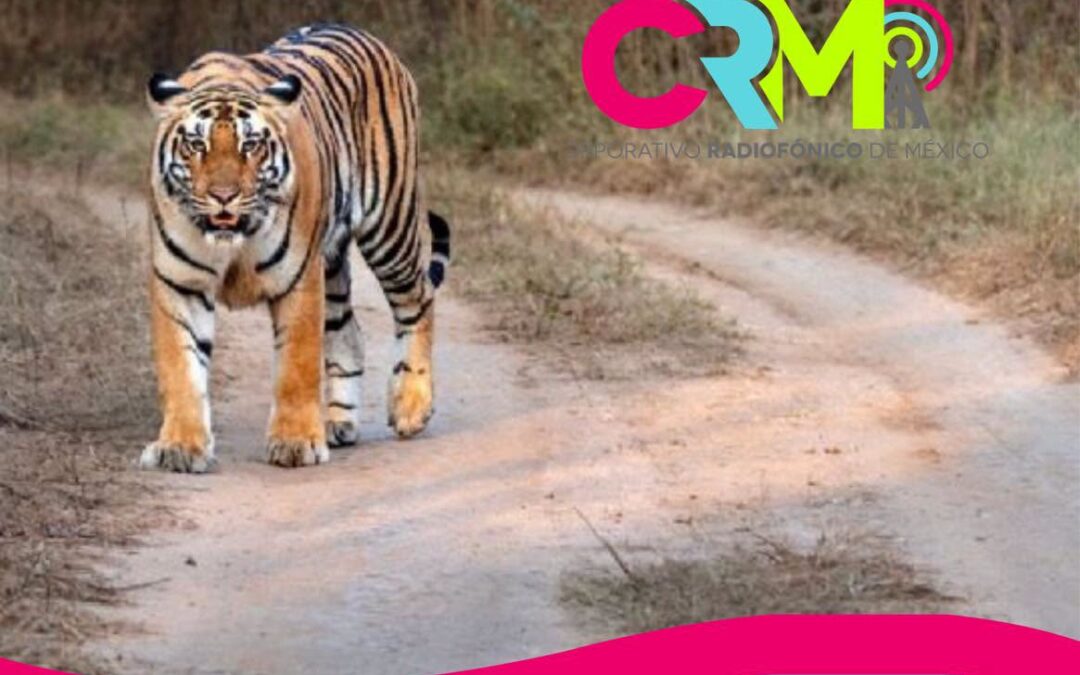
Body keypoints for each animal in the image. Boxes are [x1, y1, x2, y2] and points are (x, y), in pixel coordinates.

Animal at [140, 24, 451, 473]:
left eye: (250, 145)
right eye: (196, 145)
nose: (223, 196)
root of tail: (363, 33)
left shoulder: (298, 277)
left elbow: (296, 365)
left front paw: (296, 443)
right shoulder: (180, 282)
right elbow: (180, 367)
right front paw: (180, 446)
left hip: (389, 224)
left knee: (417, 300)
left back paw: (411, 405)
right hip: (334, 260)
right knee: (350, 333)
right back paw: (339, 423)